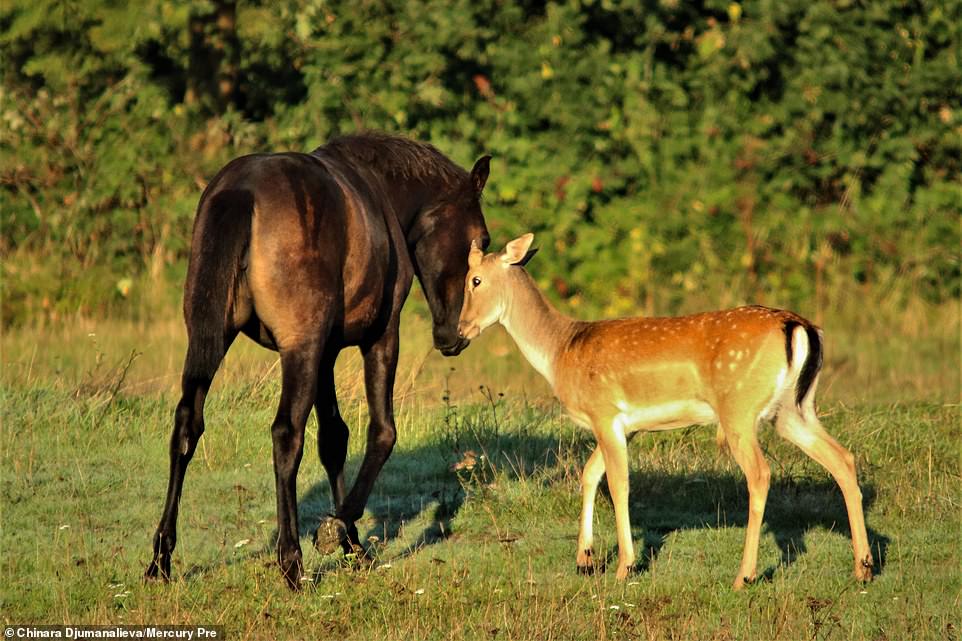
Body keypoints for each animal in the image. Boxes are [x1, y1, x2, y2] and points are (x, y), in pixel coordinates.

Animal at [146, 132, 492, 588]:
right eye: (483, 241)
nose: (455, 337)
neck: (380, 192)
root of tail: (242, 191)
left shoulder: (325, 352)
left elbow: (333, 439)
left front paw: (352, 544)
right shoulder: (379, 337)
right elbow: (382, 432)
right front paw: (337, 531)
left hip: (213, 338)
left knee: (187, 425)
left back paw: (160, 561)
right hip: (300, 348)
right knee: (285, 434)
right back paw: (291, 561)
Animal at [454, 232, 872, 588]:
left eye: (474, 280)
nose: (459, 331)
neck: (560, 351)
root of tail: (799, 327)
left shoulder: (605, 412)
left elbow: (618, 484)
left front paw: (624, 566)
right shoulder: (625, 426)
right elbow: (589, 474)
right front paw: (585, 559)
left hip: (738, 408)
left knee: (761, 473)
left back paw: (744, 575)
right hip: (793, 409)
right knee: (843, 458)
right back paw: (864, 567)